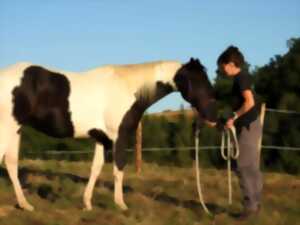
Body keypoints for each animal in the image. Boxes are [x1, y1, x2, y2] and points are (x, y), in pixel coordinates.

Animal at [0, 58, 217, 211]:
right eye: (197, 81)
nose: (213, 117)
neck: (129, 89)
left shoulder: (102, 139)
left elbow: (95, 169)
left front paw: (87, 204)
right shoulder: (120, 138)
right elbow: (118, 169)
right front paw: (121, 204)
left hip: (16, 130)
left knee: (11, 164)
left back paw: (25, 205)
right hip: (7, 129)